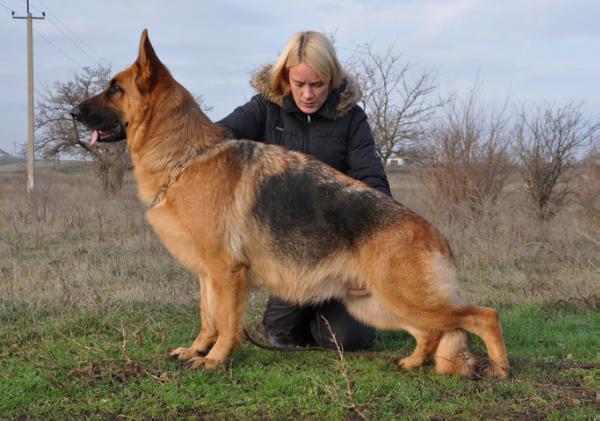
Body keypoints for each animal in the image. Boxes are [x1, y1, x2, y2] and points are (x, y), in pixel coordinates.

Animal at [72, 29, 508, 378]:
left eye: (115, 88)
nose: (73, 110)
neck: (186, 156)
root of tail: (437, 237)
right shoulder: (208, 276)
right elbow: (207, 317)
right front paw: (198, 349)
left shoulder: (226, 274)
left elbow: (227, 325)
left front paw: (214, 360)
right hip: (380, 305)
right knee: (433, 332)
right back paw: (413, 363)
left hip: (403, 299)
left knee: (483, 316)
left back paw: (500, 371)